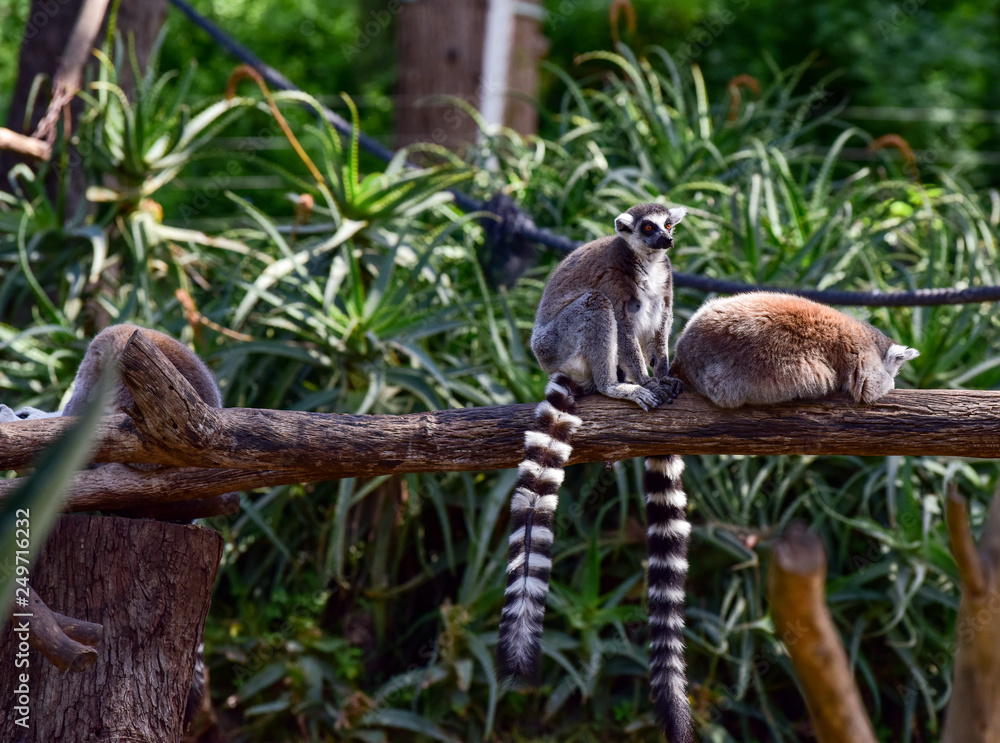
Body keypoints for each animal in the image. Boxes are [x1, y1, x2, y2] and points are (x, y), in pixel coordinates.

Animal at [496, 203, 693, 743]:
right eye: (648, 228)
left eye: (668, 225)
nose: (666, 241)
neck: (647, 265)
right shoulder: (619, 281)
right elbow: (624, 324)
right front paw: (646, 380)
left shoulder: (666, 286)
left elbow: (660, 327)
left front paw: (662, 374)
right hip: (559, 341)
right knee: (597, 307)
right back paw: (615, 386)